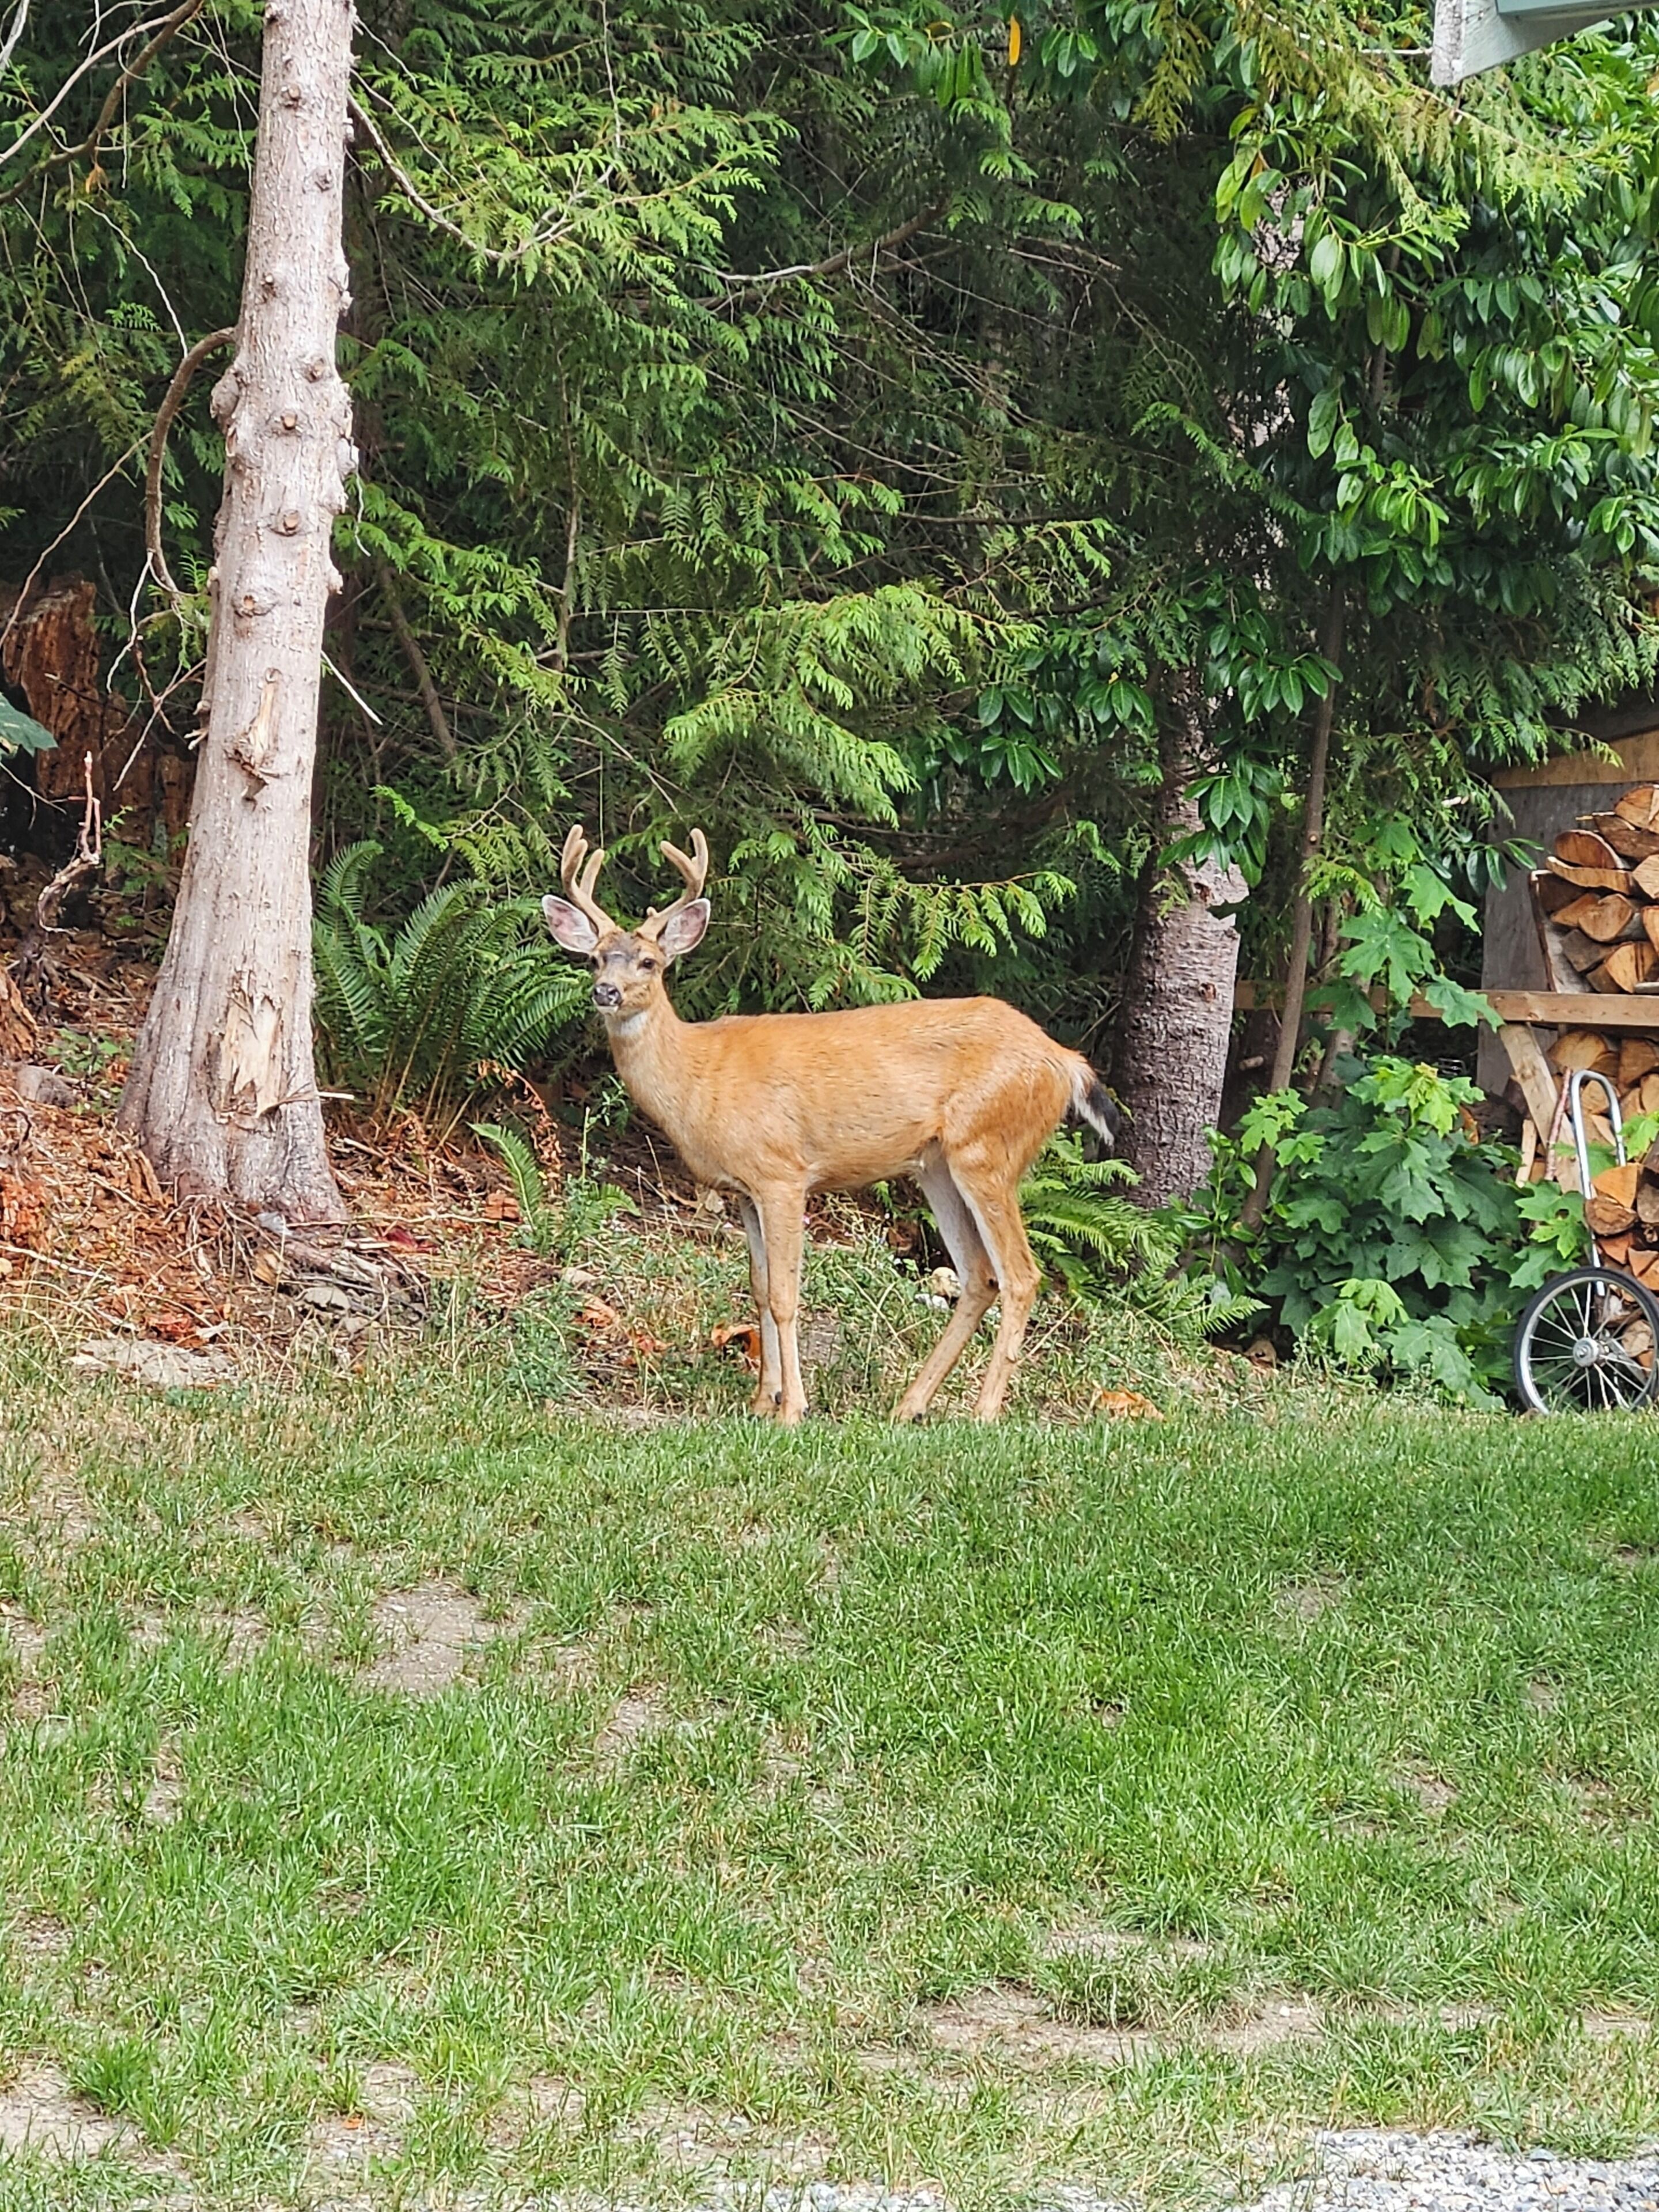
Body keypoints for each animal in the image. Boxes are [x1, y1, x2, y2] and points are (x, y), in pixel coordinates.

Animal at [542, 825, 1120, 1425]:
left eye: (650, 963)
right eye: (595, 959)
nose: (606, 992)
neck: (699, 1076)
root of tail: (1064, 1061)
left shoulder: (782, 1172)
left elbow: (784, 1295)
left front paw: (792, 1408)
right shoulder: (744, 1189)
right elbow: (758, 1287)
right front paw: (761, 1401)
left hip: (989, 1146)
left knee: (1021, 1275)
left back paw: (982, 1414)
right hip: (939, 1163)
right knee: (979, 1277)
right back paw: (908, 1407)